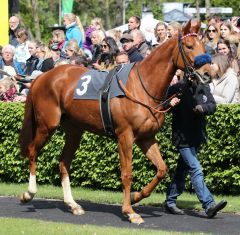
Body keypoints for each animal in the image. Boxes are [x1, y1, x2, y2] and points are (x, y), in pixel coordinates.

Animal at [19, 19, 214, 222]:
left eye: (203, 46)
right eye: (190, 46)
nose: (208, 73)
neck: (142, 86)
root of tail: (42, 77)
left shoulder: (146, 138)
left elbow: (162, 169)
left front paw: (136, 196)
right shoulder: (125, 136)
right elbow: (127, 173)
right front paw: (129, 211)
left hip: (74, 131)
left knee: (63, 162)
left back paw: (73, 204)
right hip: (47, 126)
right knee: (32, 151)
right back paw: (29, 193)